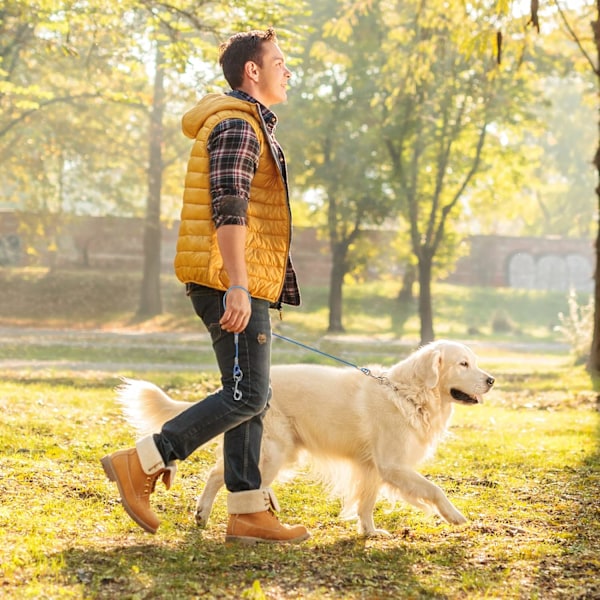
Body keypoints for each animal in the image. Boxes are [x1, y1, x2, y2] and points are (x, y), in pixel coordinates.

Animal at [116, 340, 492, 536]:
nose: (491, 380)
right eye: (463, 364)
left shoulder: (372, 468)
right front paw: (454, 515)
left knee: (222, 475)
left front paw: (369, 533)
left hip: (278, 453)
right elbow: (434, 489)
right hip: (275, 452)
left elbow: (366, 503)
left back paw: (209, 515)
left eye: (474, 362)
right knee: (224, 477)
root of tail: (237, 391)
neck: (409, 393)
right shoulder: (392, 465)